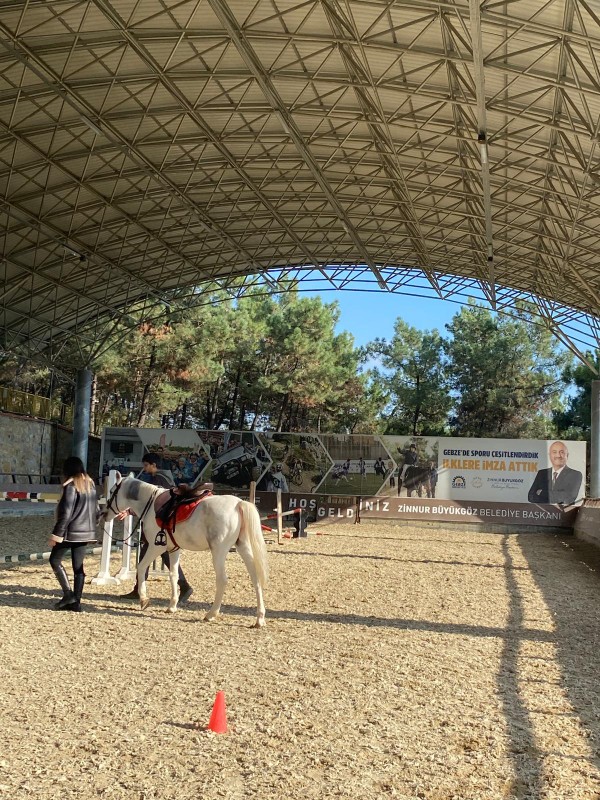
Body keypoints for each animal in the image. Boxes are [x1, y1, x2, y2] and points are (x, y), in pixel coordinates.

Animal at [102, 474, 268, 627]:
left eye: (112, 491)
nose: (104, 514)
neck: (151, 504)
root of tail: (238, 503)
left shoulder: (156, 547)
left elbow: (141, 567)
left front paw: (143, 599)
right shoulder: (173, 549)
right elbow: (173, 574)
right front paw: (172, 606)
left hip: (219, 551)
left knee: (222, 580)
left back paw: (211, 614)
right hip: (243, 547)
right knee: (256, 578)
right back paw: (259, 619)